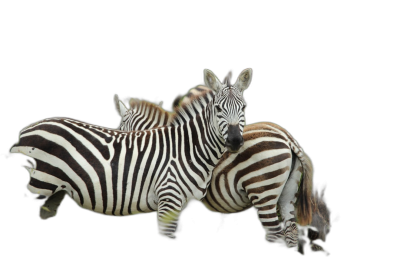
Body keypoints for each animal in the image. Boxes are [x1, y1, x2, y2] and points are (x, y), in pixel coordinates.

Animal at [9, 68, 252, 240]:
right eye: (218, 109)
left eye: (244, 108)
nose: (235, 141)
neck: (187, 149)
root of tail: (26, 130)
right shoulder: (168, 200)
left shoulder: (179, 205)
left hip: (53, 194)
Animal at [113, 75, 322, 251]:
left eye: (120, 128)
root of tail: (287, 137)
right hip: (288, 192)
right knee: (292, 231)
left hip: (263, 191)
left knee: (275, 233)